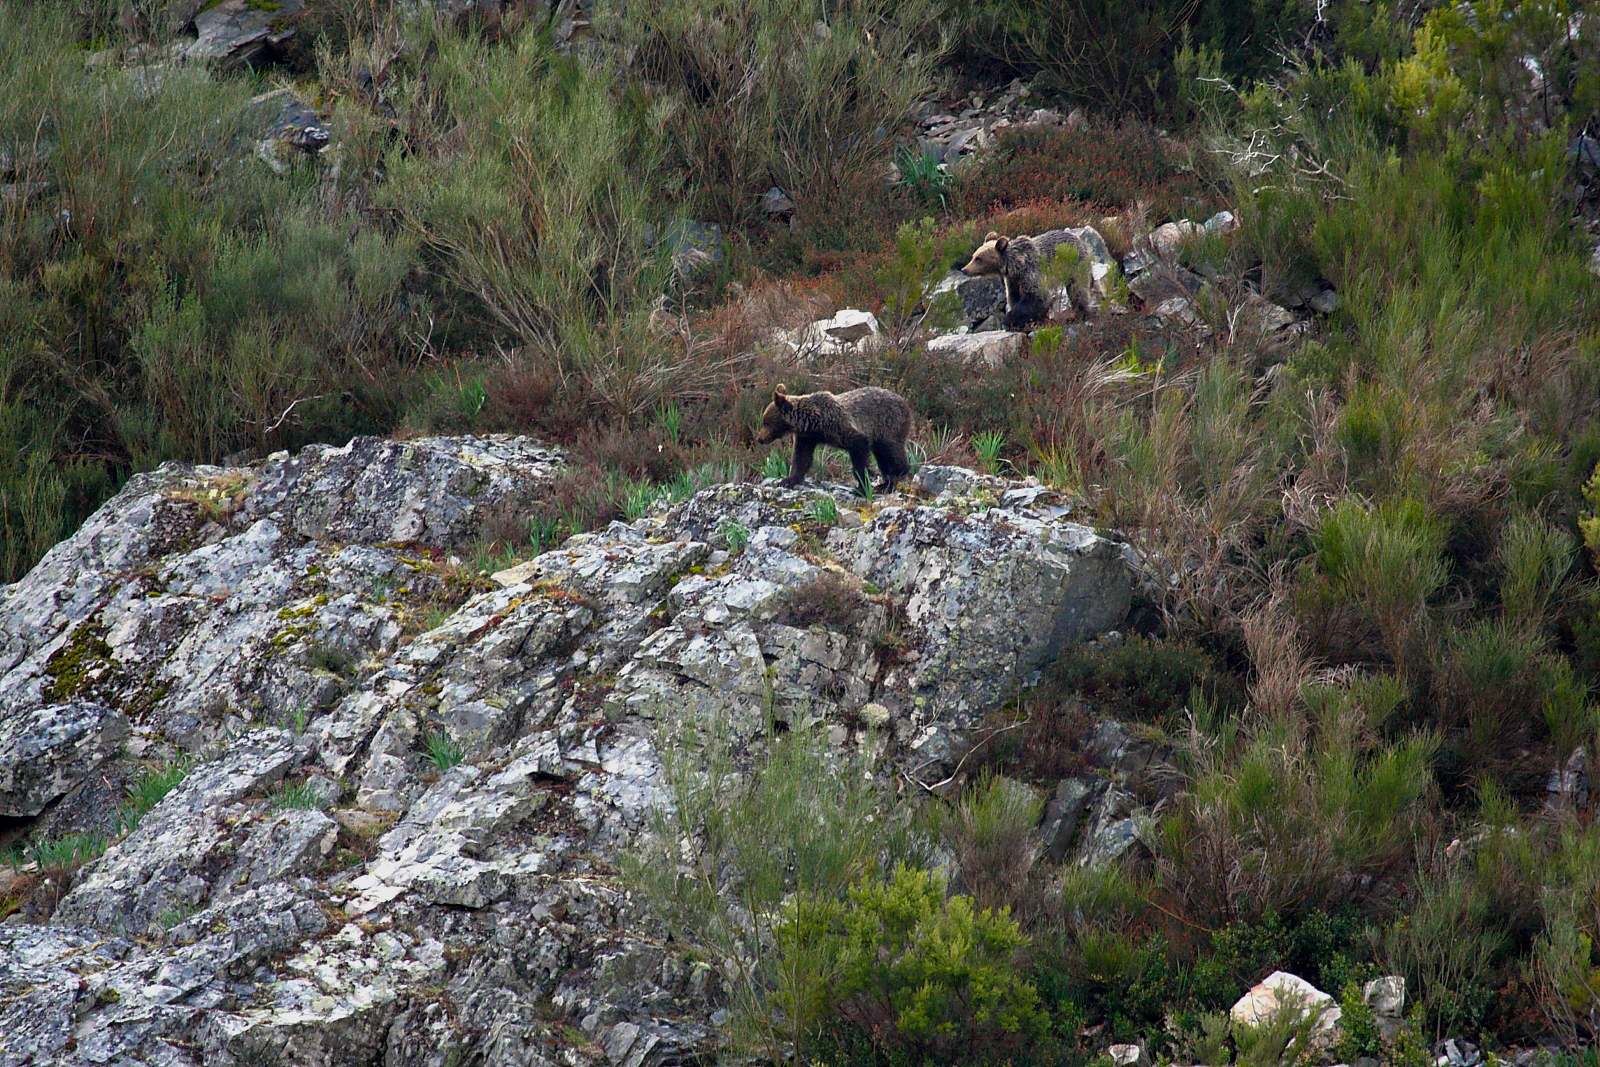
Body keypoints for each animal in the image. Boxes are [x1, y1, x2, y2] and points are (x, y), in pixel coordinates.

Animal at [755, 384, 912, 496]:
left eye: (766, 422)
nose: (759, 438)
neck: (813, 422)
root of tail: (904, 401)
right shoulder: (806, 437)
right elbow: (801, 458)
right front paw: (787, 480)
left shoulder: (841, 427)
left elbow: (859, 451)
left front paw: (861, 487)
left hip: (888, 425)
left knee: (891, 451)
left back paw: (893, 478)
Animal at [961, 230, 1089, 329]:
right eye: (973, 256)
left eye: (979, 258)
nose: (964, 269)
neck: (1016, 266)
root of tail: (1080, 240)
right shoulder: (1013, 281)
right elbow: (1014, 298)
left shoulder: (1031, 274)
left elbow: (1034, 298)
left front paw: (1010, 319)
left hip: (1075, 267)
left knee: (1077, 290)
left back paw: (1079, 315)